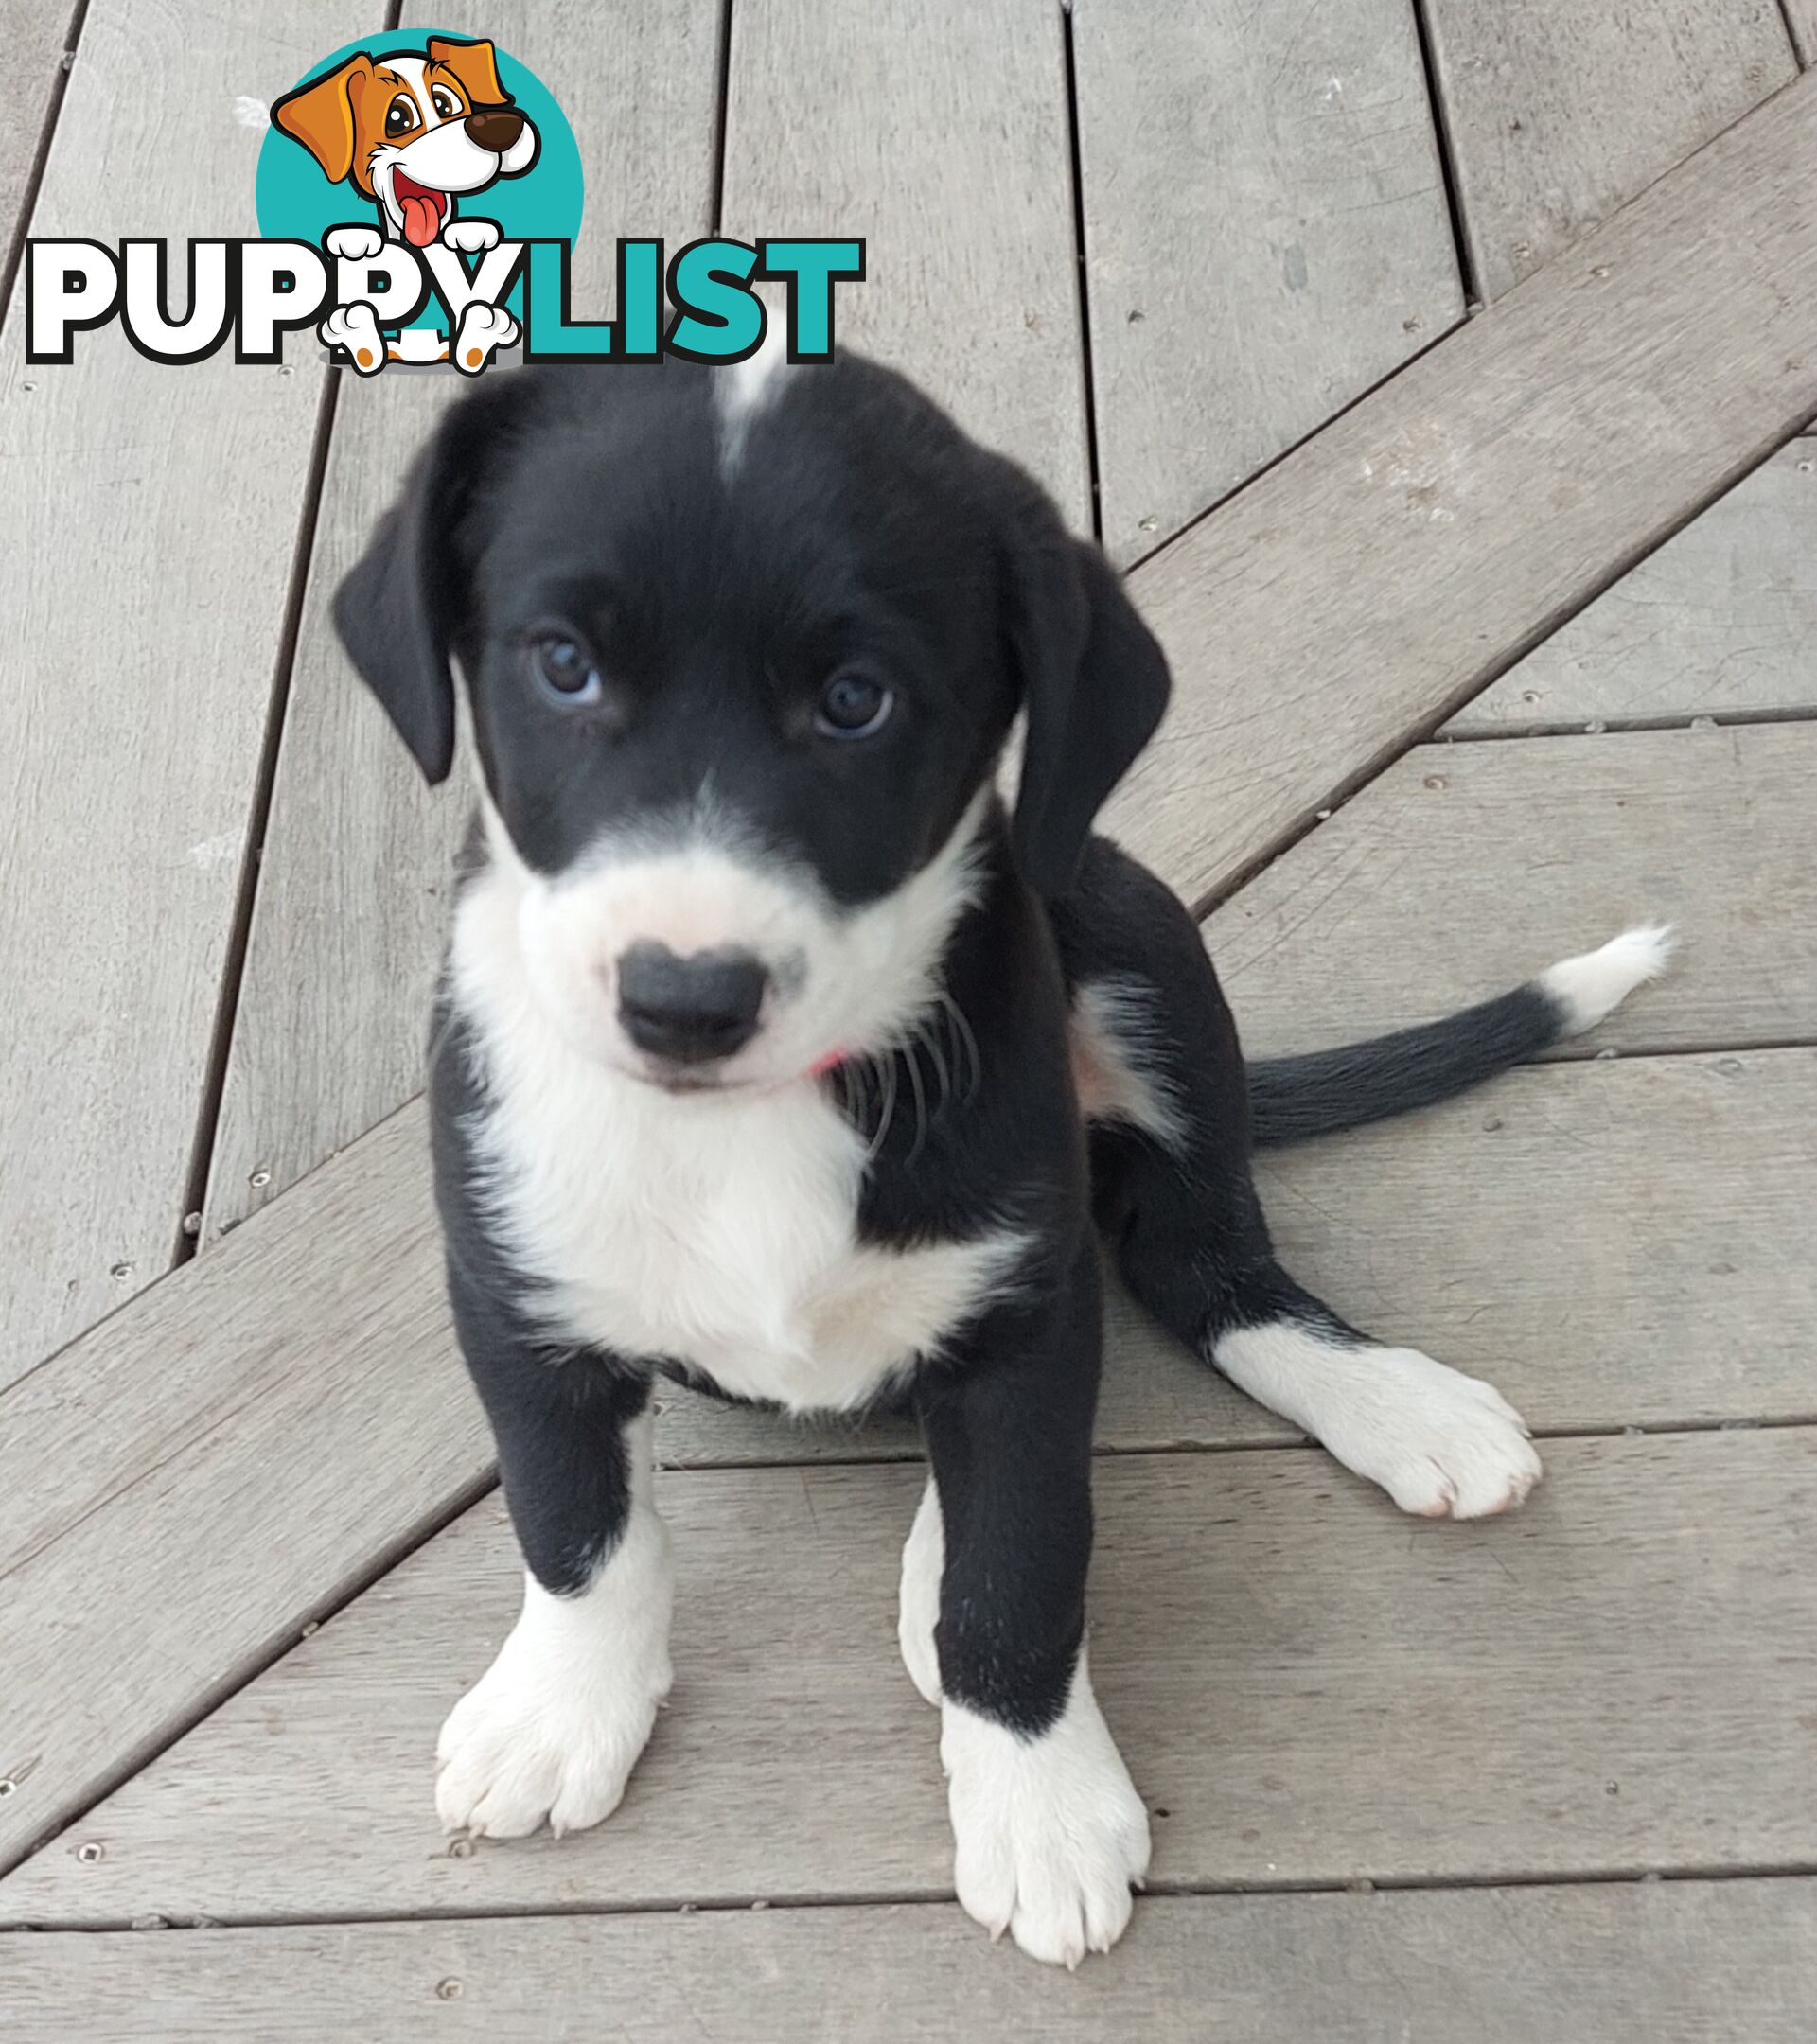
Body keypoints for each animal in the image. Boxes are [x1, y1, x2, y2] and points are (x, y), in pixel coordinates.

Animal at [333, 343, 1667, 1970]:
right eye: (561, 665)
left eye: (858, 702)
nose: (684, 999)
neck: (759, 1119)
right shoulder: (511, 1296)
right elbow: (574, 1522)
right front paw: (559, 1711)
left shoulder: (1026, 1315)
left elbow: (1022, 1568)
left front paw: (1039, 1807)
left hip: (1132, 931)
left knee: (1198, 1269)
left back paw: (1388, 1403)